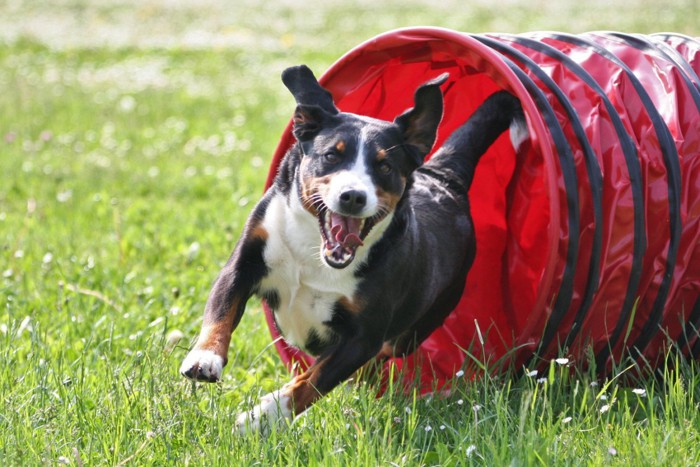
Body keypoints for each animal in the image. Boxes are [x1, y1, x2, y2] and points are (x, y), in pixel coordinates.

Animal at [180, 64, 524, 434]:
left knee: (379, 358)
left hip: (415, 327)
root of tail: (444, 178)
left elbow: (311, 382)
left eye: (384, 166)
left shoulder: (363, 336)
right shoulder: (244, 264)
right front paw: (204, 357)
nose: (353, 196)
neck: (314, 253)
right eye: (332, 155)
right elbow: (221, 312)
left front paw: (261, 417)